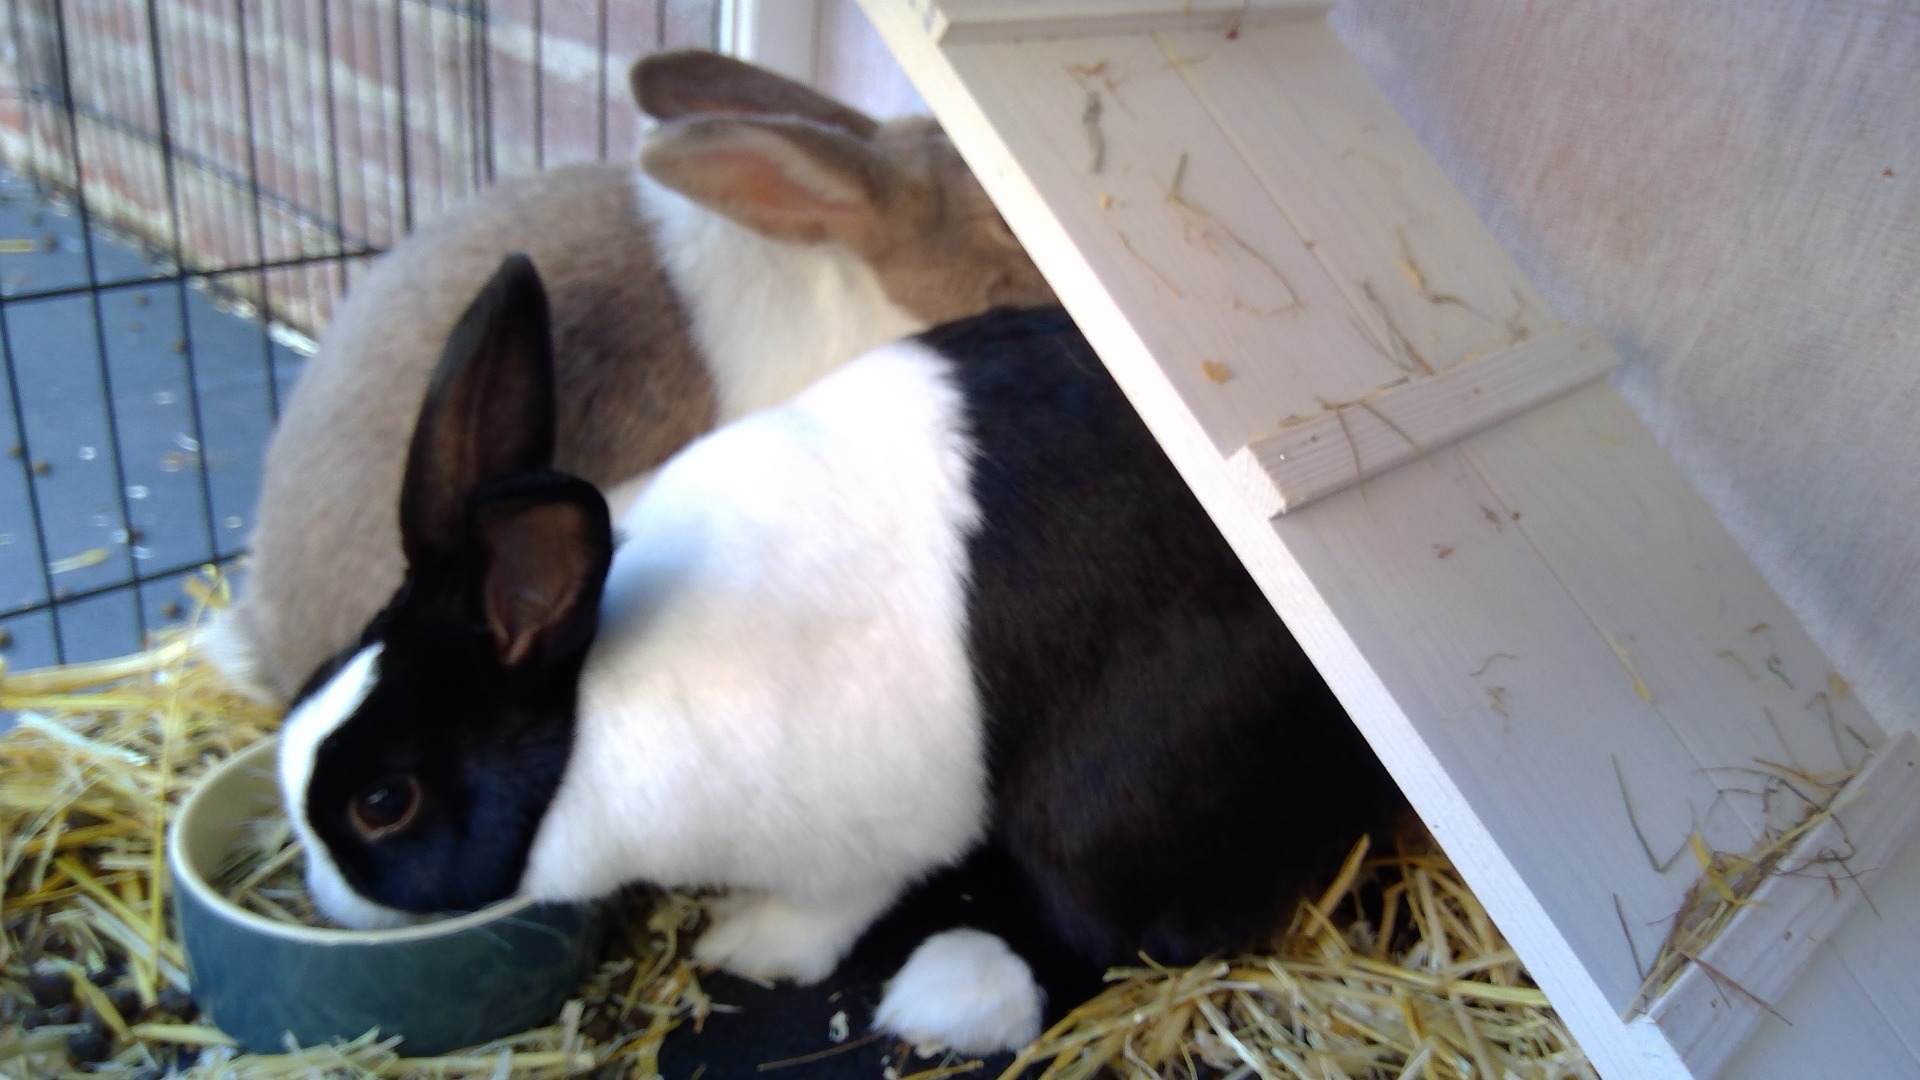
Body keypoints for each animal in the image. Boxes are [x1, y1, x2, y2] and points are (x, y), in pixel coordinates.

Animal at [277, 256, 1408, 1055]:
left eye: (384, 804)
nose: (325, 895)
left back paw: (955, 994)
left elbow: (840, 901)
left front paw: (749, 943)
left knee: (1127, 931)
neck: (593, 705)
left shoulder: (874, 817)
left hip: (1114, 793)